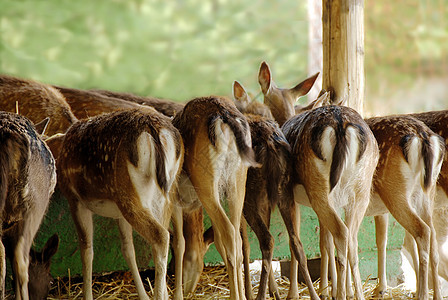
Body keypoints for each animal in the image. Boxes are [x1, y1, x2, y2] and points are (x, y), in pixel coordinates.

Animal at [57, 106, 183, 298]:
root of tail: (154, 131)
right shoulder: (119, 214)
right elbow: (128, 249)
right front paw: (143, 296)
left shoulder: (75, 199)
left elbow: (86, 250)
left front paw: (87, 296)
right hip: (167, 192)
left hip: (129, 193)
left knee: (161, 236)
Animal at [172, 95, 260, 298]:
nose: (188, 290)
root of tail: (224, 115)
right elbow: (218, 241)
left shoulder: (173, 200)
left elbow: (179, 242)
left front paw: (176, 295)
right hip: (237, 181)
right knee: (236, 237)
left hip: (206, 183)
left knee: (229, 233)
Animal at [233, 80, 320, 300]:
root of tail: (270, 144)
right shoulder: (266, 201)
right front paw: (274, 291)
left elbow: (244, 246)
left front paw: (249, 291)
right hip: (283, 192)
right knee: (296, 242)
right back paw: (312, 294)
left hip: (249, 195)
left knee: (266, 239)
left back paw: (259, 295)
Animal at [260, 61, 444, 300]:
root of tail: (423, 138)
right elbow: (370, 240)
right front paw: (345, 289)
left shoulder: (295, 197)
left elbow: (306, 243)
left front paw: (303, 292)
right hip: (411, 194)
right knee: (425, 238)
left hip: (379, 192)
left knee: (415, 232)